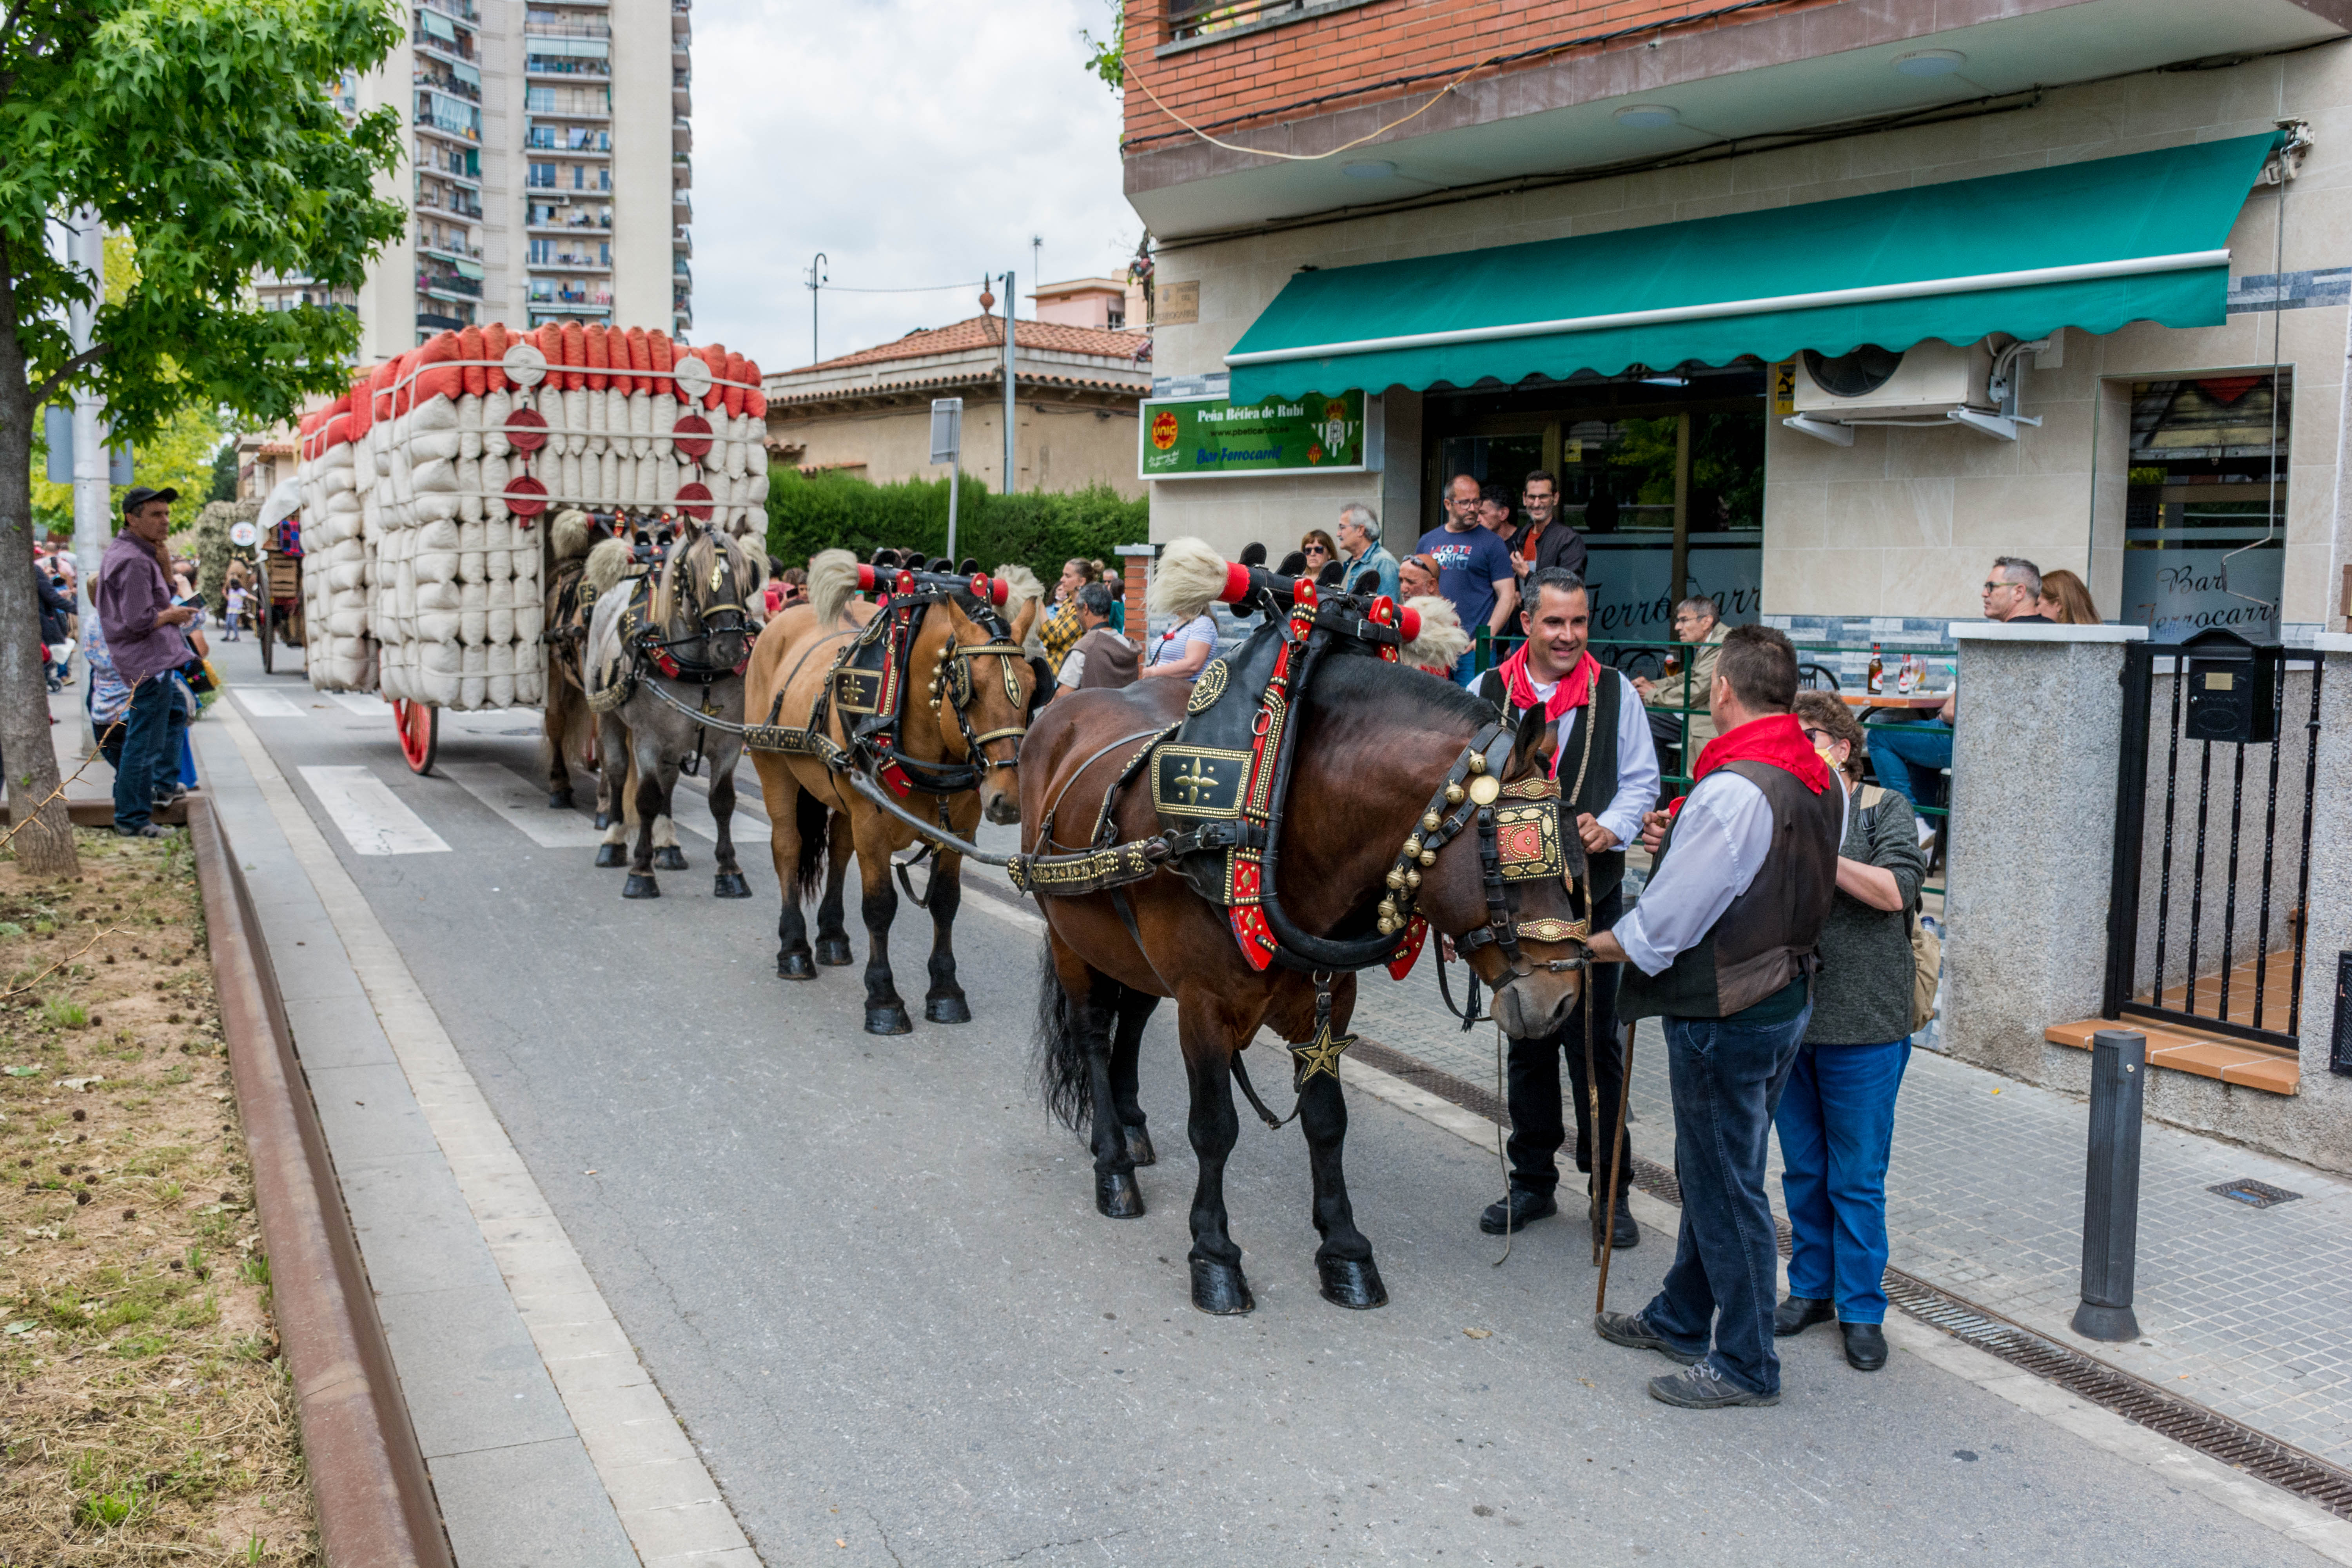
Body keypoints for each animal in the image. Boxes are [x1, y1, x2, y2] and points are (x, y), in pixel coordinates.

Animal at [576, 517, 767, 893]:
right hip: (608, 716)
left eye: (749, 575)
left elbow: (722, 801)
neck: (701, 670)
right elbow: (647, 799)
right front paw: (641, 872)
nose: (729, 649)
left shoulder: (727, 742)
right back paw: (613, 841)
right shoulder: (648, 739)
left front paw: (729, 871)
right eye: (693, 575)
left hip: (676, 739)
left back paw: (668, 846)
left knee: (669, 781)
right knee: (617, 772)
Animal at [748, 555, 1044, 1044]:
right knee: (788, 846)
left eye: (1033, 685)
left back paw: (832, 938)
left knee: (839, 850)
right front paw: (884, 999)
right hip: (773, 766)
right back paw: (794, 948)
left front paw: (945, 990)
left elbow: (945, 901)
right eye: (969, 688)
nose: (1010, 799)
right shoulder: (873, 822)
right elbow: (880, 906)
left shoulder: (960, 827)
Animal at [1021, 545, 1590, 1316]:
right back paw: (1114, 1163)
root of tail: (1061, 710)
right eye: (1516, 849)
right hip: (1070, 939)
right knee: (1090, 1032)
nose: (1561, 1002)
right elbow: (1216, 1128)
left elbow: (1326, 1121)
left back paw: (1134, 1132)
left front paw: (1345, 1250)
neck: (1272, 800)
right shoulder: (1204, 1006)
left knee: (1130, 1022)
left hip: (1131, 949)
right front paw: (1215, 1255)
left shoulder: (1328, 1007)